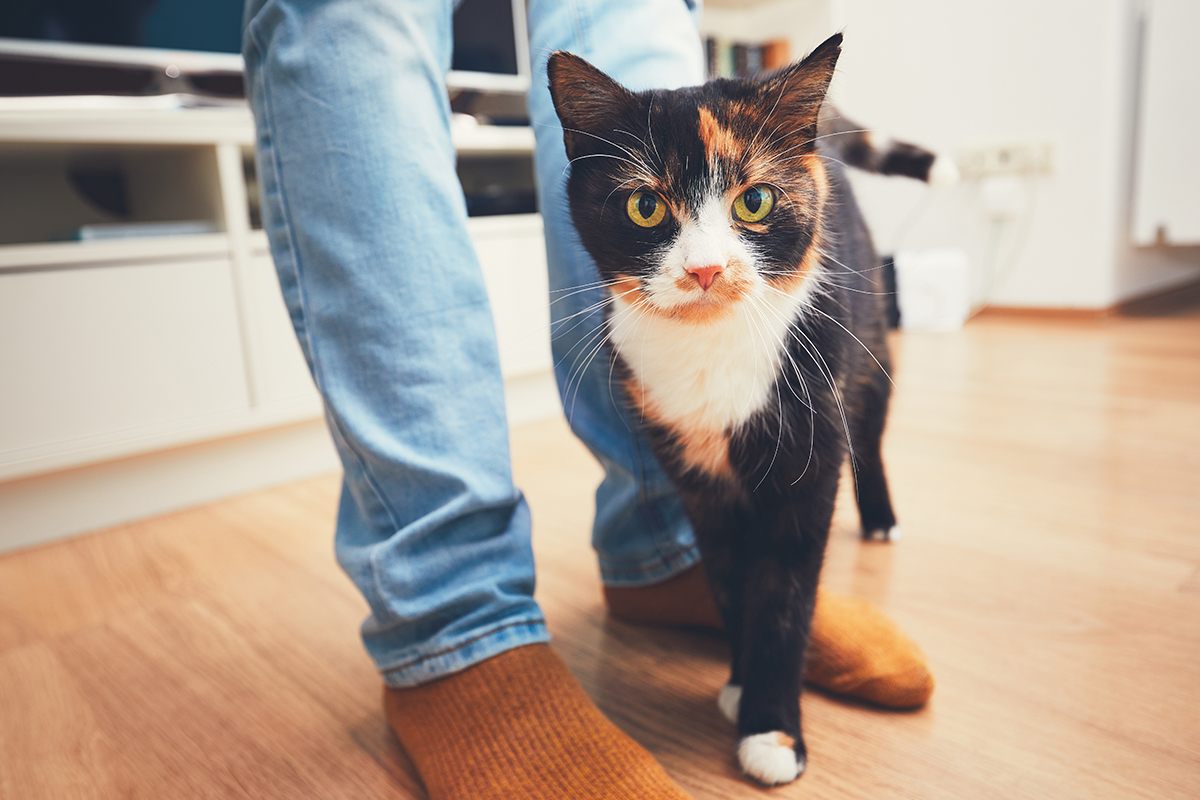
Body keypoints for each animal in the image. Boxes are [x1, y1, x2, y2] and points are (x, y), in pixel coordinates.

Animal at [549, 34, 940, 786]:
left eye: (754, 200)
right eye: (646, 208)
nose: (704, 269)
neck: (711, 347)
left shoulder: (807, 467)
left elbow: (784, 596)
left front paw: (773, 730)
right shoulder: (696, 479)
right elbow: (730, 581)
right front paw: (738, 680)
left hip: (868, 340)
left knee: (872, 431)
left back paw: (881, 518)